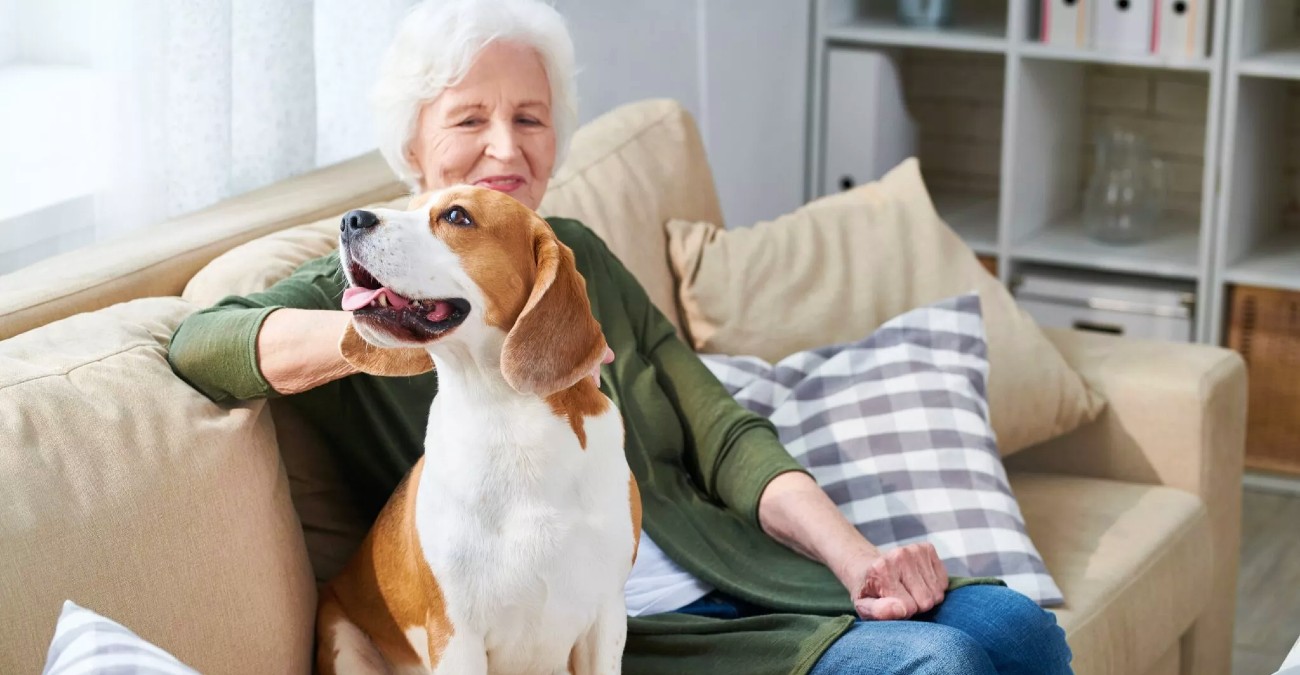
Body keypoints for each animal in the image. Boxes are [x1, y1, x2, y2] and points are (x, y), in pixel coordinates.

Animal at [314, 185, 639, 675]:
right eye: (409, 206)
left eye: (456, 216)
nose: (350, 220)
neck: (505, 418)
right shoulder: (455, 635)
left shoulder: (605, 618)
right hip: (344, 640)